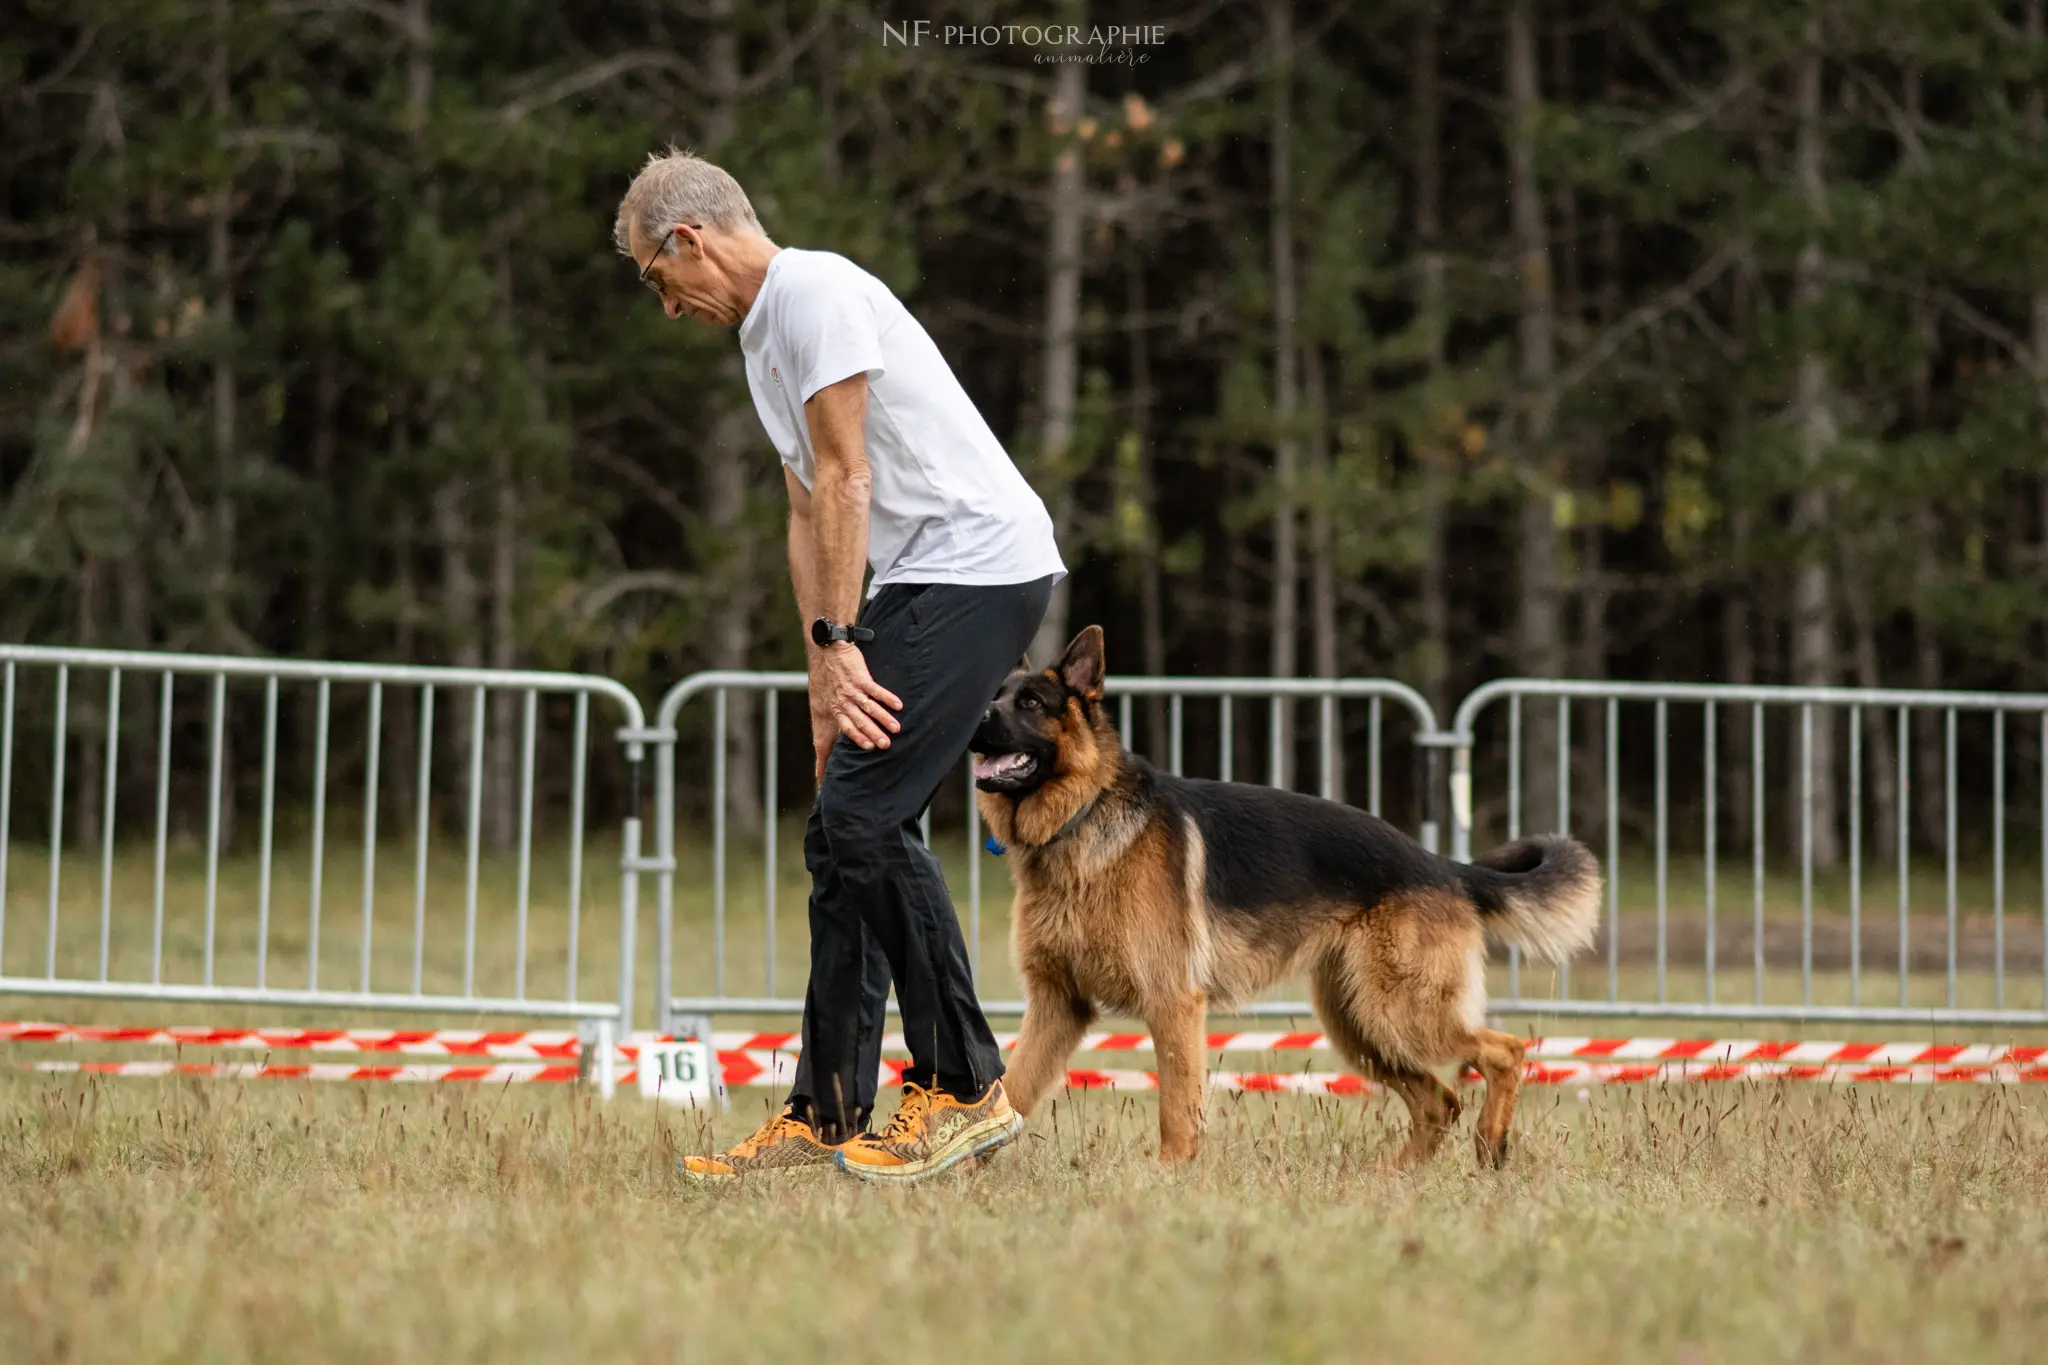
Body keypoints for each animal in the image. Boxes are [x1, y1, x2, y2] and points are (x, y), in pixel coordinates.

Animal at [966, 634, 1605, 1178]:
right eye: (992, 695)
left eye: (1029, 702)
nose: (972, 722)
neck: (1082, 816)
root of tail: (1443, 865)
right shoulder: (1058, 1005)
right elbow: (1009, 1090)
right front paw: (964, 1168)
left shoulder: (1172, 1004)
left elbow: (1176, 1105)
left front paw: (1170, 1175)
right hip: (1362, 1027)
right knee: (1439, 1101)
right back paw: (1394, 1176)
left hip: (1400, 1014)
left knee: (1505, 1052)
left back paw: (1490, 1144)